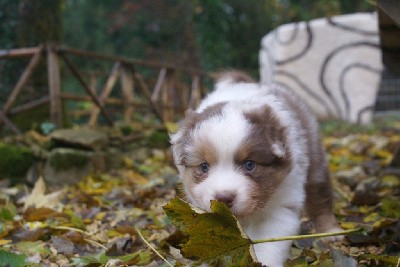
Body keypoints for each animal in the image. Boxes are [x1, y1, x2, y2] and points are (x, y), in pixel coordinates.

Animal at [170, 72, 342, 266]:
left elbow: (269, 246)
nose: (224, 198)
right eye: (204, 166)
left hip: (315, 163)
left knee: (320, 198)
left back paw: (331, 232)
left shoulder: (280, 206)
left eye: (249, 164)